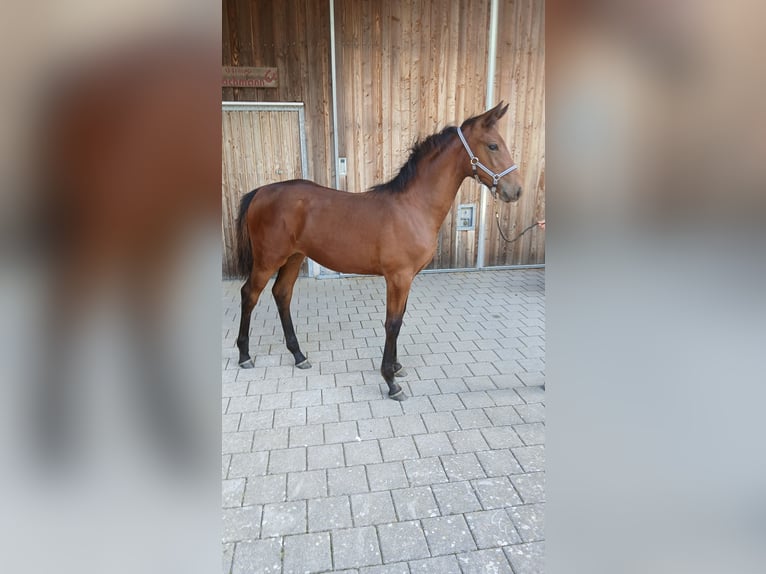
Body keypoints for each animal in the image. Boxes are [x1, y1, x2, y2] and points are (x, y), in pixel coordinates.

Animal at [235, 102, 523, 400]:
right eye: (493, 145)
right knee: (249, 295)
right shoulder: (398, 277)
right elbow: (392, 324)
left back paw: (299, 355)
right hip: (268, 259)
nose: (515, 190)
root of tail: (260, 192)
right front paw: (391, 381)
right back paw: (244, 355)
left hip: (294, 257)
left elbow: (400, 320)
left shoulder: (407, 279)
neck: (412, 207)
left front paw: (396, 367)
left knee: (282, 294)